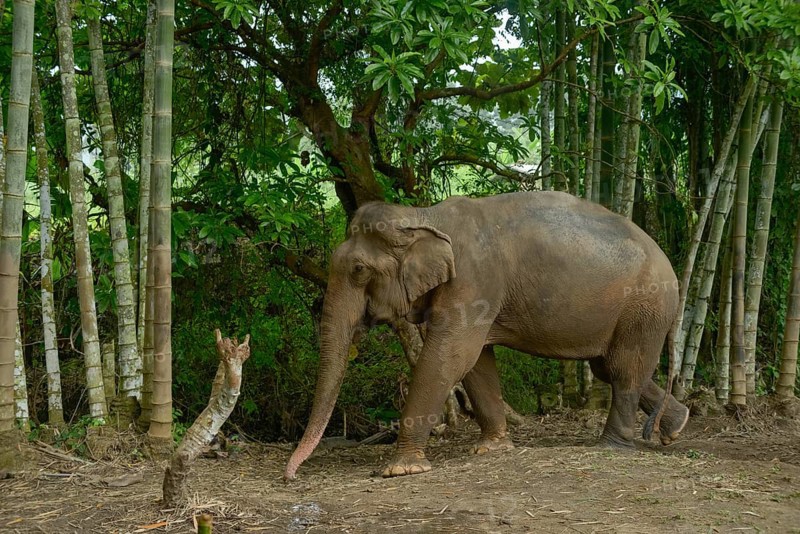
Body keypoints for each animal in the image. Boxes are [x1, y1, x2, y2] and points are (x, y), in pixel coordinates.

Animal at [284, 191, 690, 480]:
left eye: (358, 269)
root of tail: (674, 275)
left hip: (644, 306)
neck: (423, 215)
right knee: (609, 367)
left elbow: (450, 355)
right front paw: (492, 449)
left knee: (623, 370)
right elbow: (477, 362)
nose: (290, 476)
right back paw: (676, 428)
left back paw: (611, 446)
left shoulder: (473, 280)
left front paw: (400, 469)